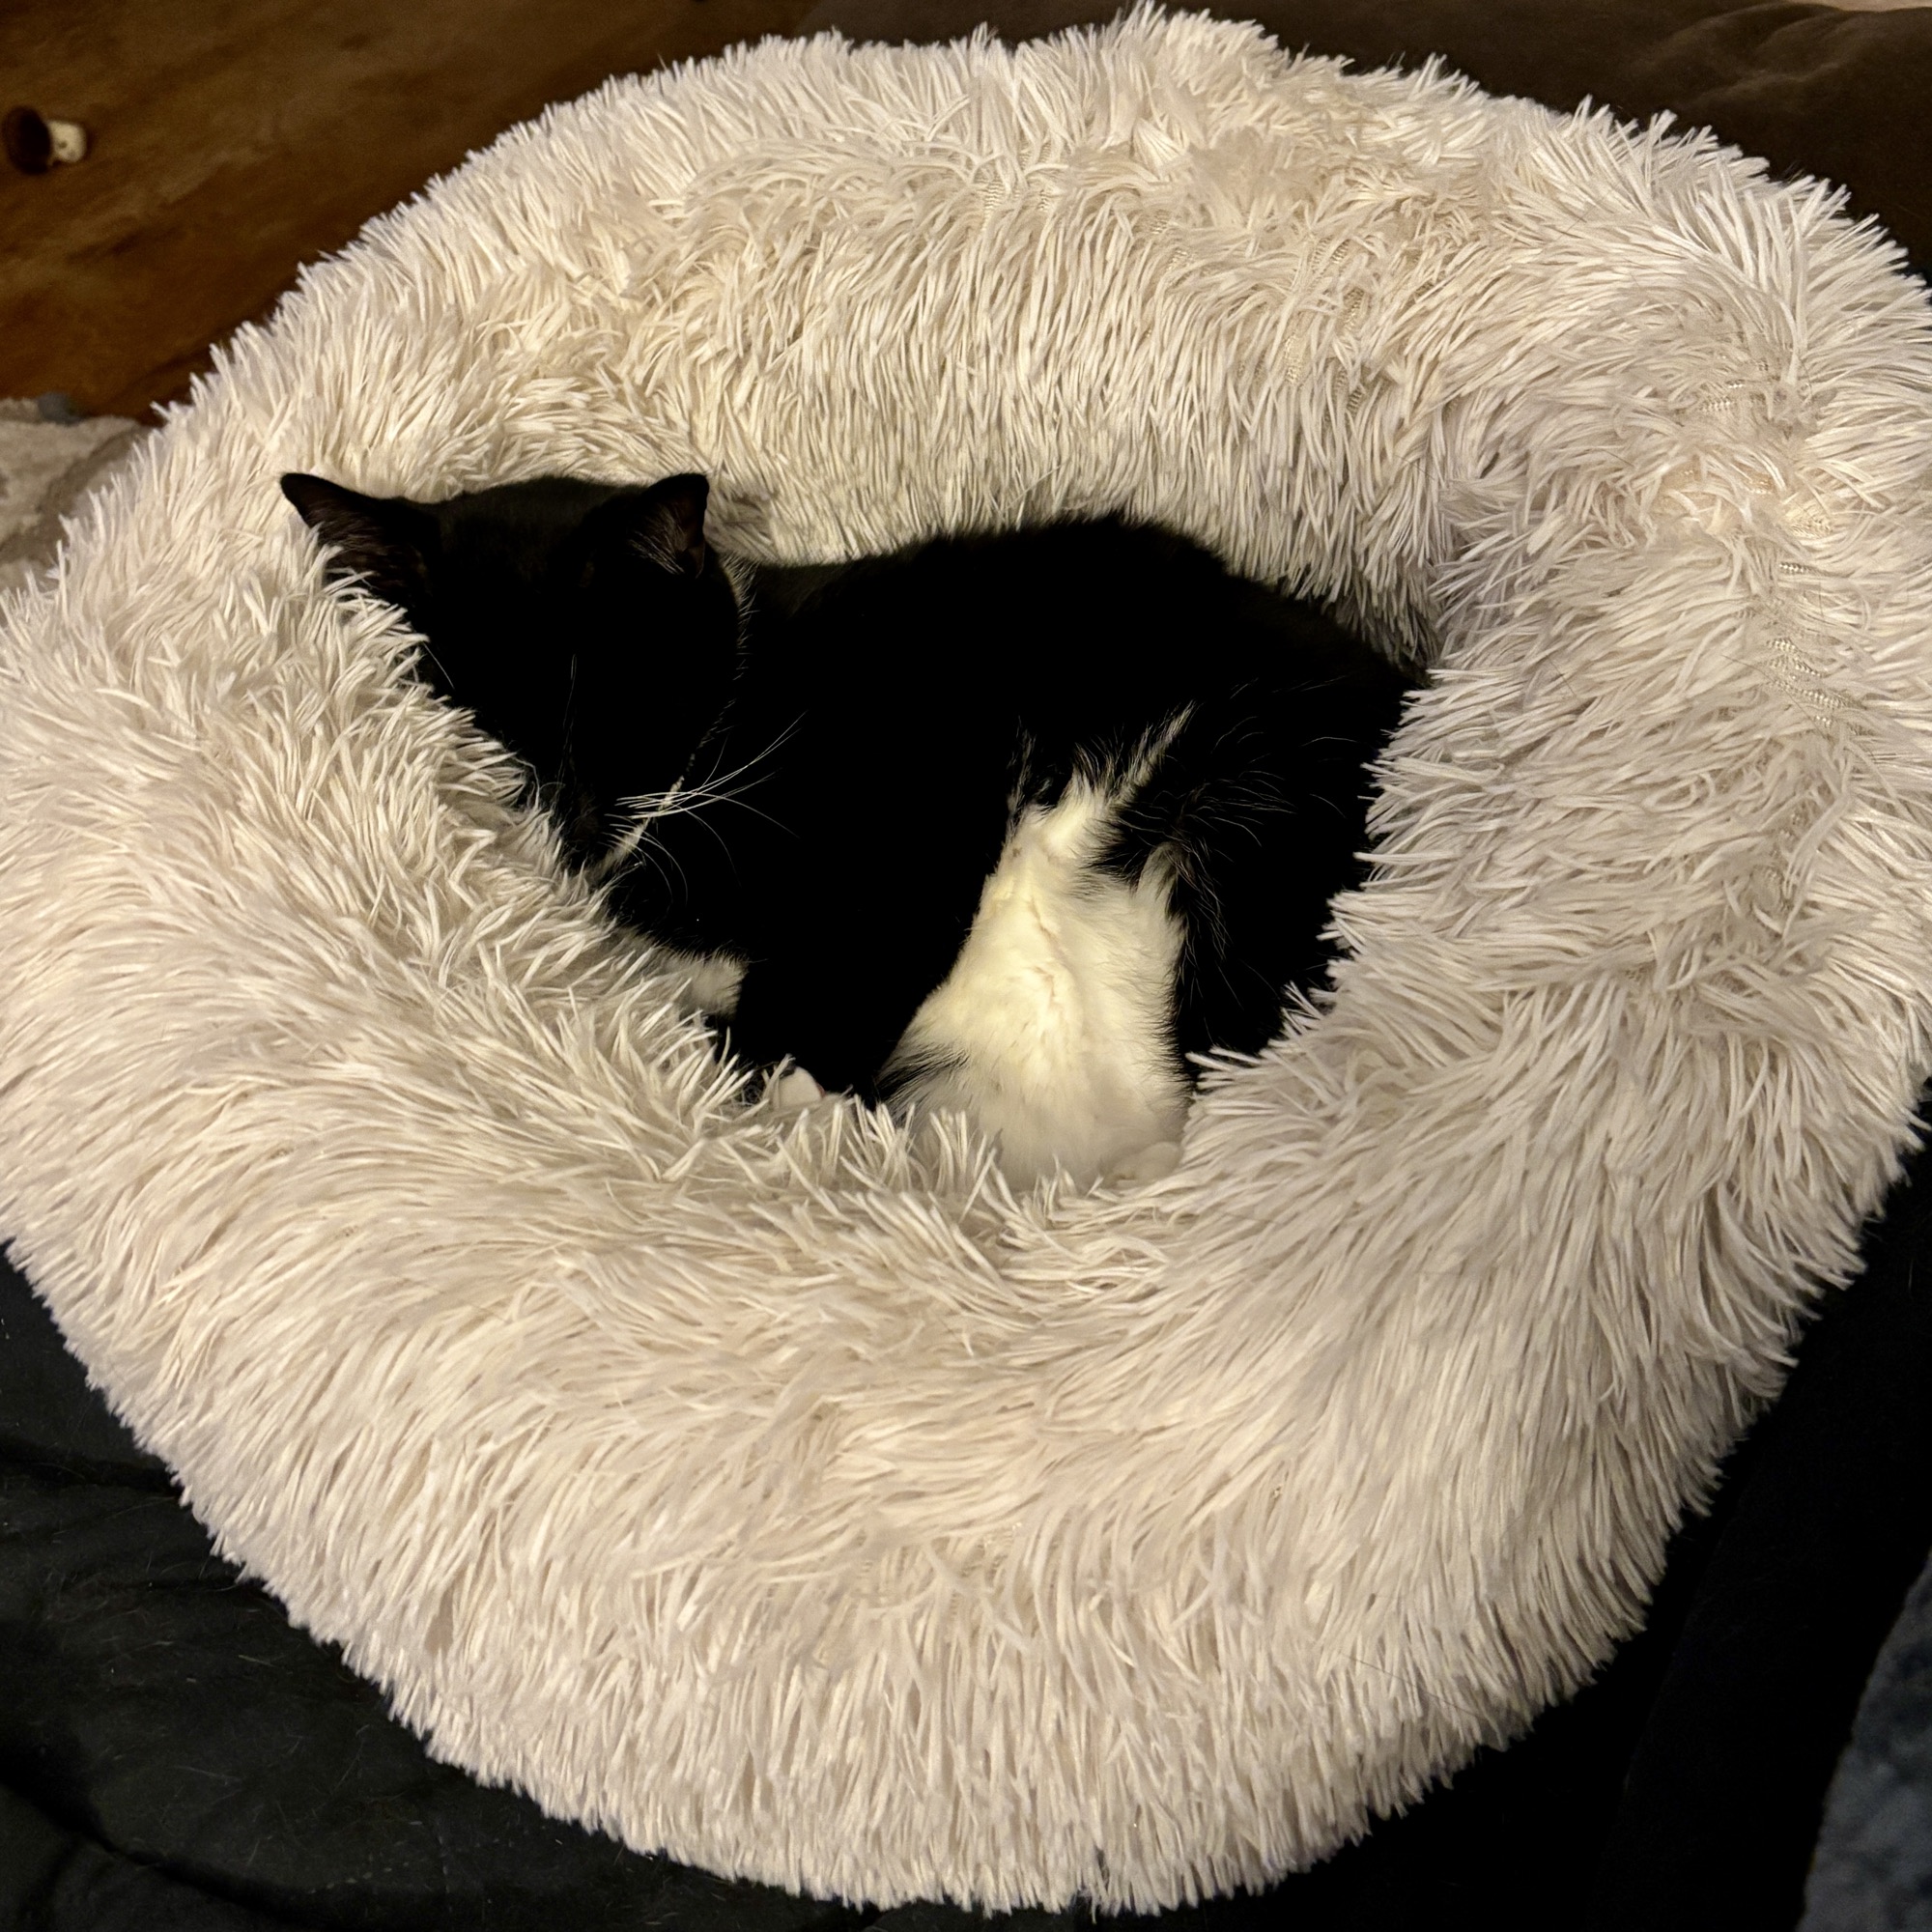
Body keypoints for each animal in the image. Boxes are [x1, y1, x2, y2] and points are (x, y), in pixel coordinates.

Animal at [281, 470, 1414, 1184]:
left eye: (603, 710)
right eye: (462, 719)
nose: (559, 816)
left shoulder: (913, 803)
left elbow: (822, 990)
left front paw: (773, 1095)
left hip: (1247, 808)